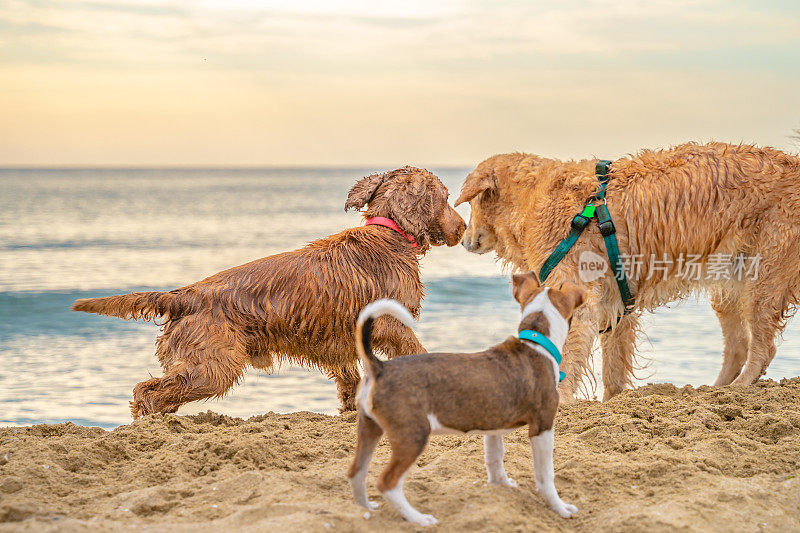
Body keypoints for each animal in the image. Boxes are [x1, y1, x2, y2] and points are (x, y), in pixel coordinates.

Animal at [74, 166, 466, 416]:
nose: (463, 227)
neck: (388, 232)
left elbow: (349, 381)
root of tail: (184, 295)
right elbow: (416, 352)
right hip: (214, 365)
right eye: (446, 197)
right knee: (148, 392)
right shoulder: (390, 323)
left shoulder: (339, 342)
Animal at [346, 270, 584, 524]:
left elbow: (495, 459)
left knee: (356, 473)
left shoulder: (493, 427)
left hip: (369, 428)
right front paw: (560, 508)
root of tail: (379, 367)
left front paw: (501, 486)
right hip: (412, 435)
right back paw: (418, 519)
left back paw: (365, 509)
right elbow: (546, 476)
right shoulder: (542, 426)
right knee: (387, 483)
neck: (535, 343)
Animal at [456, 141, 800, 400]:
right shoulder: (616, 303)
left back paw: (740, 386)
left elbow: (567, 355)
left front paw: (560, 400)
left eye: (471, 205)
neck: (529, 201)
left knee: (763, 347)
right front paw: (611, 401)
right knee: (738, 345)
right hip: (728, 281)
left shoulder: (578, 297)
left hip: (764, 277)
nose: (463, 239)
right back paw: (715, 390)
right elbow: (613, 368)